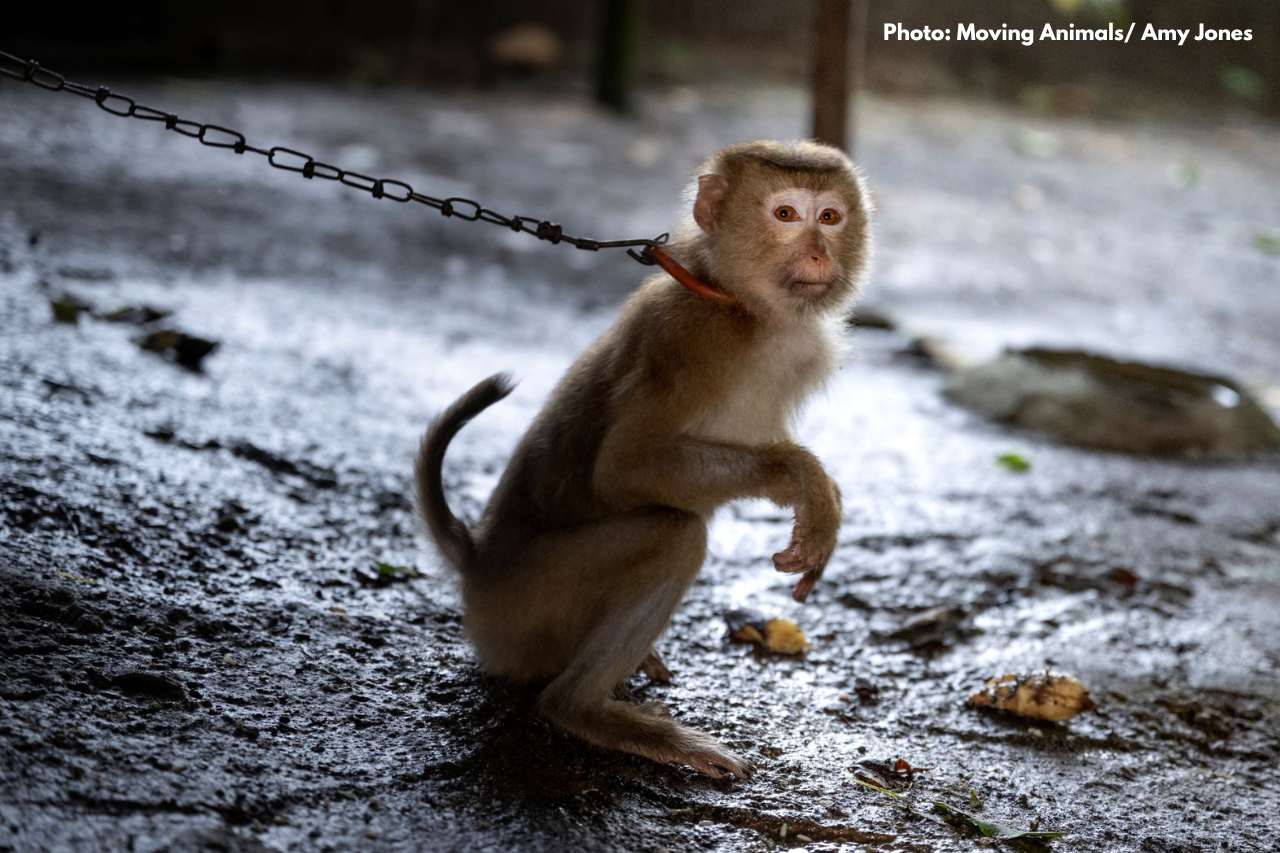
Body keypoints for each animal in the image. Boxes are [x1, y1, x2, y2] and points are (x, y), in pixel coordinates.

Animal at [414, 139, 875, 778]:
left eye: (830, 217)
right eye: (786, 215)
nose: (816, 252)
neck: (730, 298)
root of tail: (477, 561)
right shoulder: (692, 344)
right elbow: (626, 467)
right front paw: (803, 481)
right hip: (527, 607)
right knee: (674, 535)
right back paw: (584, 709)